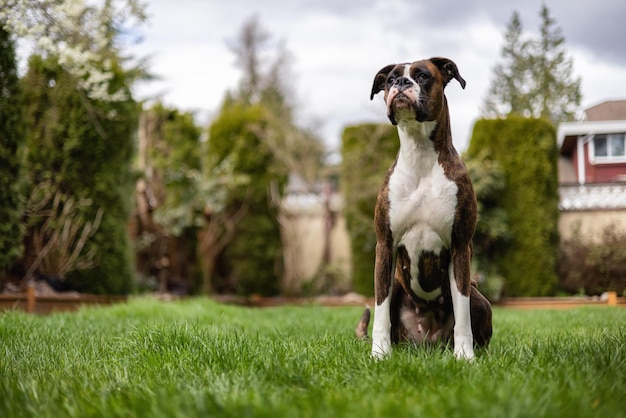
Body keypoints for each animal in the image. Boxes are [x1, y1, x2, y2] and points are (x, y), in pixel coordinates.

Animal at [354, 57, 490, 360]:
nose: (401, 83)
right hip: (397, 288)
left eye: (423, 76)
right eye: (389, 80)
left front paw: (465, 357)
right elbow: (380, 310)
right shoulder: (385, 246)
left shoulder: (460, 247)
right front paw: (379, 354)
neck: (420, 154)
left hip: (478, 296)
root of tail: (427, 343)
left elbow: (462, 314)